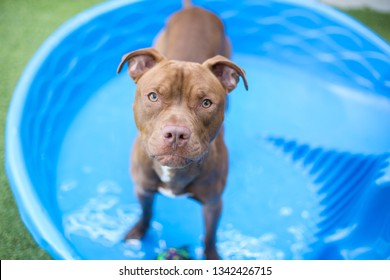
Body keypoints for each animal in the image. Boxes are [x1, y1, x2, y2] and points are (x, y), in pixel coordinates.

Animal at [117, 0, 248, 260]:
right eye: (153, 96)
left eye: (206, 103)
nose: (176, 134)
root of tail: (193, 9)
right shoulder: (143, 190)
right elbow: (146, 213)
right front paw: (139, 231)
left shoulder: (213, 203)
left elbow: (210, 235)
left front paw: (211, 256)